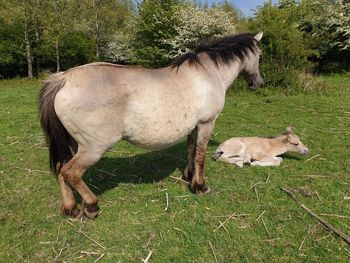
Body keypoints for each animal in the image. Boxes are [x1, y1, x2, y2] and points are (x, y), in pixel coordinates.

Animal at [39, 32, 262, 219]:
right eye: (259, 56)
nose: (258, 83)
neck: (207, 74)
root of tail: (64, 79)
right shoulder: (206, 124)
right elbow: (200, 154)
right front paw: (200, 186)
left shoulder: (194, 126)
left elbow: (190, 150)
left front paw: (188, 176)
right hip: (93, 147)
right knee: (71, 173)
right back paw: (91, 206)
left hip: (71, 143)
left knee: (61, 170)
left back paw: (71, 209)